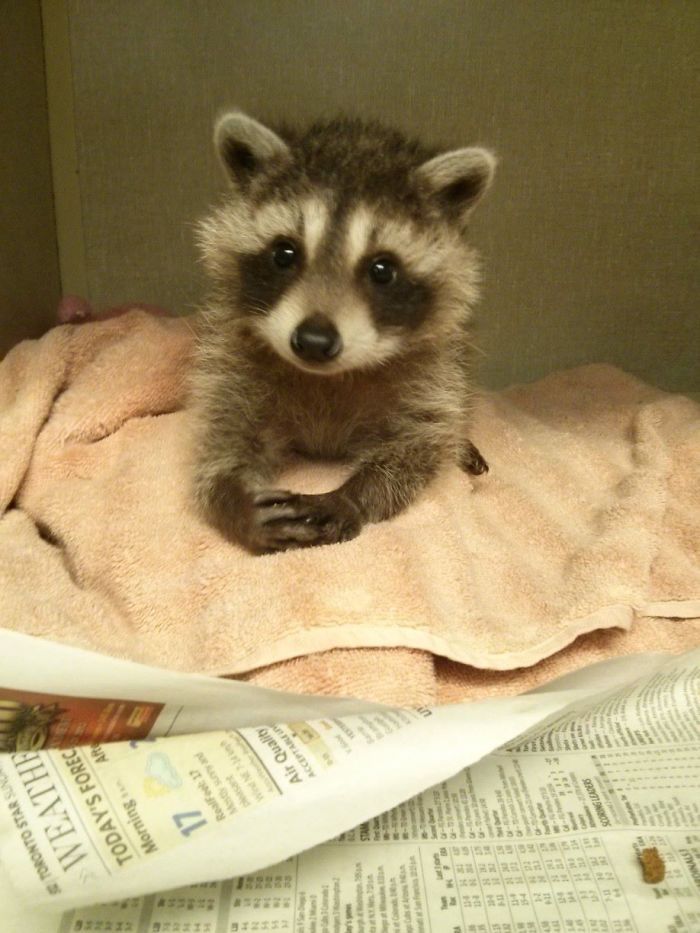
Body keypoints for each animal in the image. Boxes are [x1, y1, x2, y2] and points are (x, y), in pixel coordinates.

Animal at [191, 110, 494, 552]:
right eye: (284, 253)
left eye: (382, 270)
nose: (314, 342)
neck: (329, 376)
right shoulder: (231, 358)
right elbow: (222, 433)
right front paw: (232, 495)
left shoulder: (434, 372)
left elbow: (418, 444)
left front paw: (354, 495)